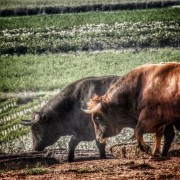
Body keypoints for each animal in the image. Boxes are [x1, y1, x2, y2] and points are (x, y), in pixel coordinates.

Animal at [20, 75, 179, 160]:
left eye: (36, 127)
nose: (35, 147)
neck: (74, 102)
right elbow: (95, 144)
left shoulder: (86, 132)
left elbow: (74, 143)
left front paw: (70, 158)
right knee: (169, 135)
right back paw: (163, 153)